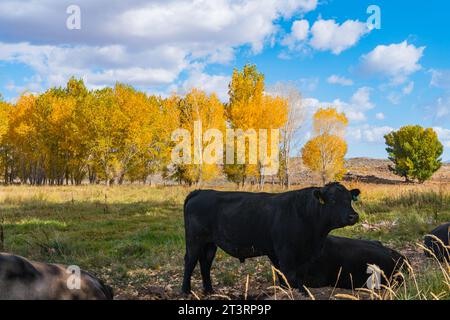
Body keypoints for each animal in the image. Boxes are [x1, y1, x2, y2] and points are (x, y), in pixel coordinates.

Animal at [181, 181, 360, 294]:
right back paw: (186, 291)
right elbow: (291, 277)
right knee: (190, 261)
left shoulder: (303, 257)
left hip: (210, 243)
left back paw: (209, 291)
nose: (353, 216)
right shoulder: (286, 253)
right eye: (333, 200)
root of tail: (200, 192)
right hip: (194, 240)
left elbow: (290, 277)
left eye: (350, 199)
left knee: (205, 263)